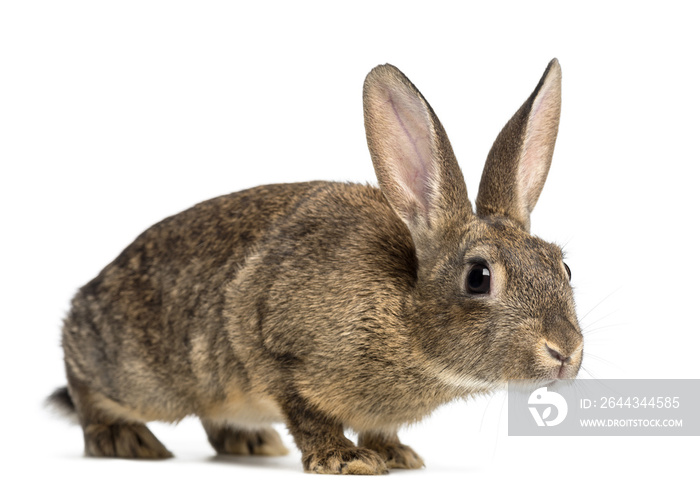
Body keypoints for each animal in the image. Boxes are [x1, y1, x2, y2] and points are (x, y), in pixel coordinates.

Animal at [49, 58, 584, 474]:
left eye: (564, 268)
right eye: (479, 277)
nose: (565, 352)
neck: (406, 314)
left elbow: (381, 428)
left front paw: (398, 455)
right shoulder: (274, 349)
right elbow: (307, 413)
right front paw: (348, 460)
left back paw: (250, 441)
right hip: (134, 371)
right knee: (86, 384)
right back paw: (125, 440)